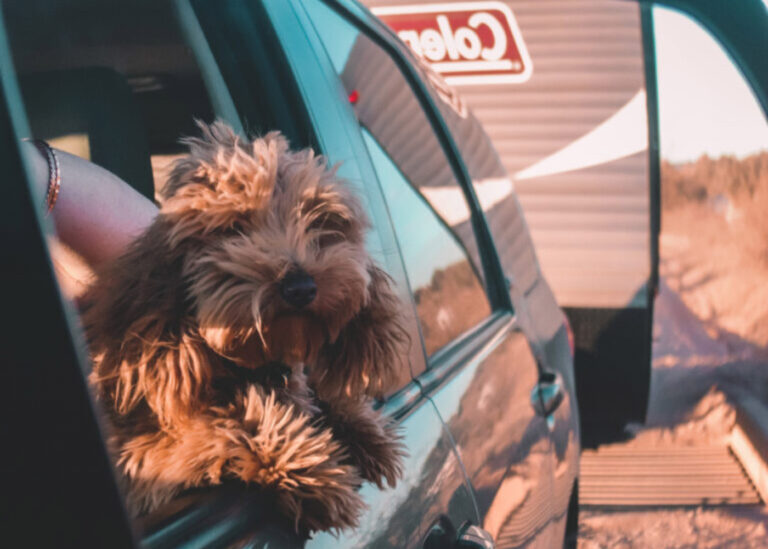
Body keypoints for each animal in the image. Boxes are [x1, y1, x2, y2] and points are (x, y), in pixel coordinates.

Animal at [80, 122, 408, 532]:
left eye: (320, 221)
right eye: (233, 228)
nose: (301, 287)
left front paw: (368, 432)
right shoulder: (144, 463)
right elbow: (227, 421)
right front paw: (311, 471)